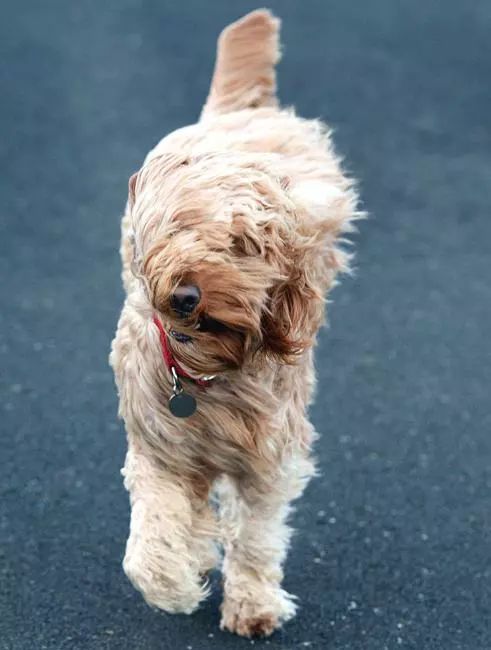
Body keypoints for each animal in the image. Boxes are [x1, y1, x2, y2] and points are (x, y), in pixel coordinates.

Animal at [109, 8, 360, 636]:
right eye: (176, 228)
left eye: (242, 244)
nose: (186, 294)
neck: (204, 371)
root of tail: (233, 117)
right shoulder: (159, 445)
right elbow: (150, 542)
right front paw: (176, 581)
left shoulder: (268, 457)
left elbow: (256, 535)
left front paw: (252, 604)